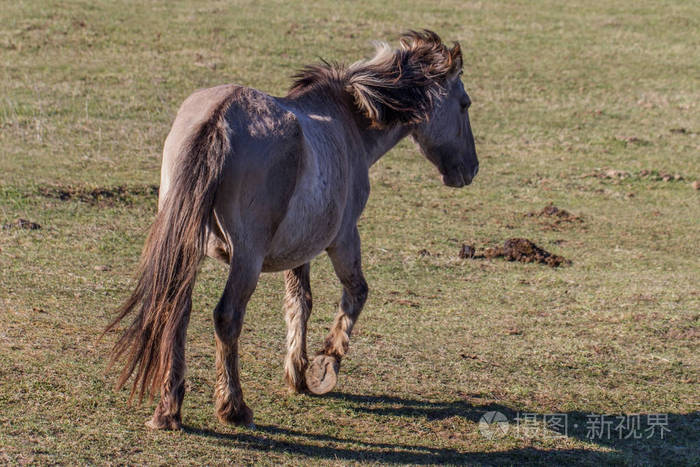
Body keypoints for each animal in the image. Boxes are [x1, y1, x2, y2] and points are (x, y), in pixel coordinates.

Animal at [105, 30, 479, 430]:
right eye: (465, 104)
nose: (470, 169)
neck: (348, 122)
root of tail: (220, 118)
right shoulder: (343, 238)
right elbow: (356, 293)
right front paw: (325, 365)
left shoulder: (300, 249)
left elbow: (300, 302)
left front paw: (297, 372)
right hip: (246, 259)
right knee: (227, 317)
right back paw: (233, 407)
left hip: (187, 248)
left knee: (176, 311)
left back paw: (169, 410)